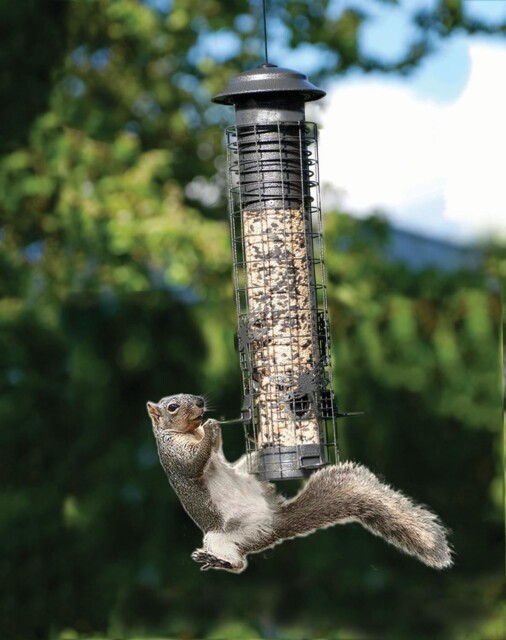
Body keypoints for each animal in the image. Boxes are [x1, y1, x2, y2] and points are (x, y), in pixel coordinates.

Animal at [147, 393, 453, 574]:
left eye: (192, 396)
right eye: (172, 407)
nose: (200, 402)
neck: (189, 433)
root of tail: (274, 523)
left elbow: (217, 451)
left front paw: (213, 424)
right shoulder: (174, 456)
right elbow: (194, 464)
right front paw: (210, 427)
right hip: (221, 537)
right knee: (237, 562)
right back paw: (217, 560)